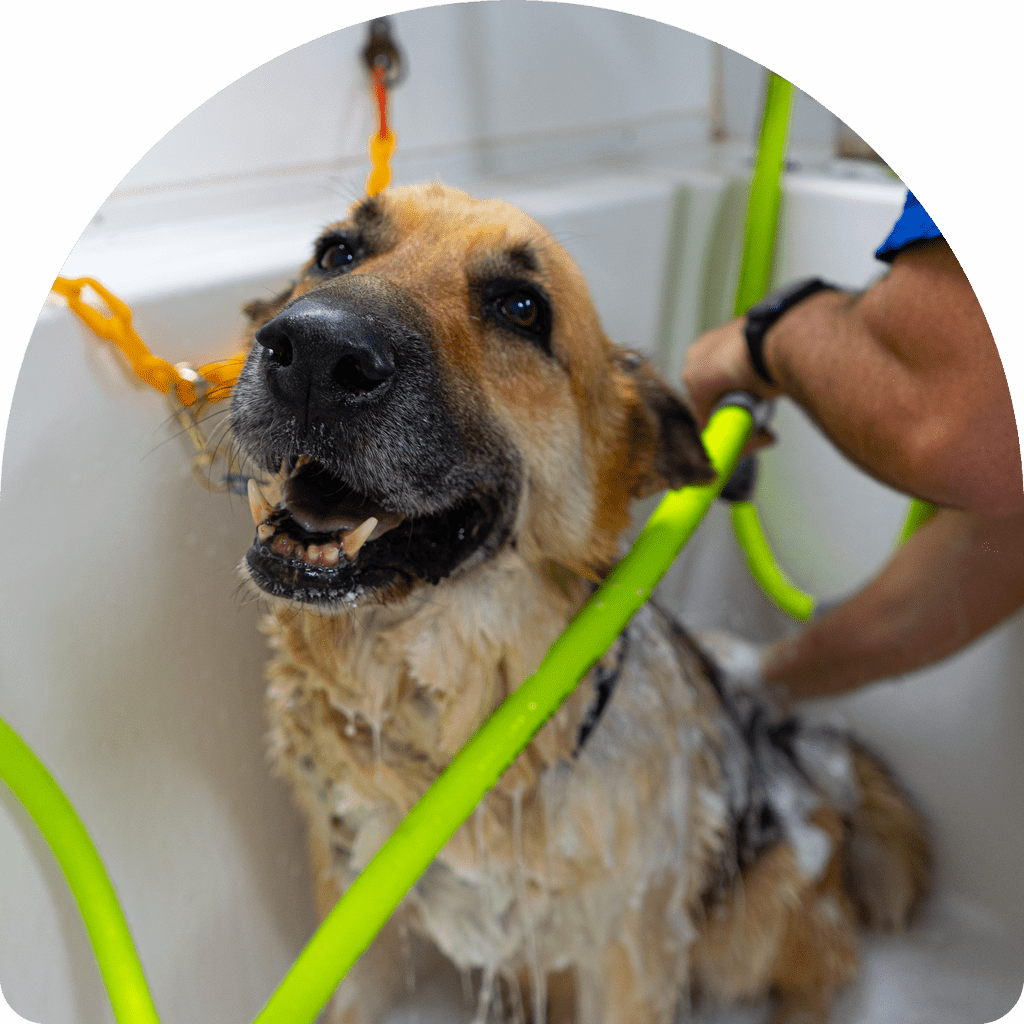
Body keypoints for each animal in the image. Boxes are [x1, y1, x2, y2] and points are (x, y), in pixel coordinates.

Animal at [226, 183, 930, 1024]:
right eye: (336, 252)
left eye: (522, 308)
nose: (313, 352)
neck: (452, 739)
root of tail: (792, 750)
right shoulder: (354, 916)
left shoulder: (629, 955)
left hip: (752, 926)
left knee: (826, 966)